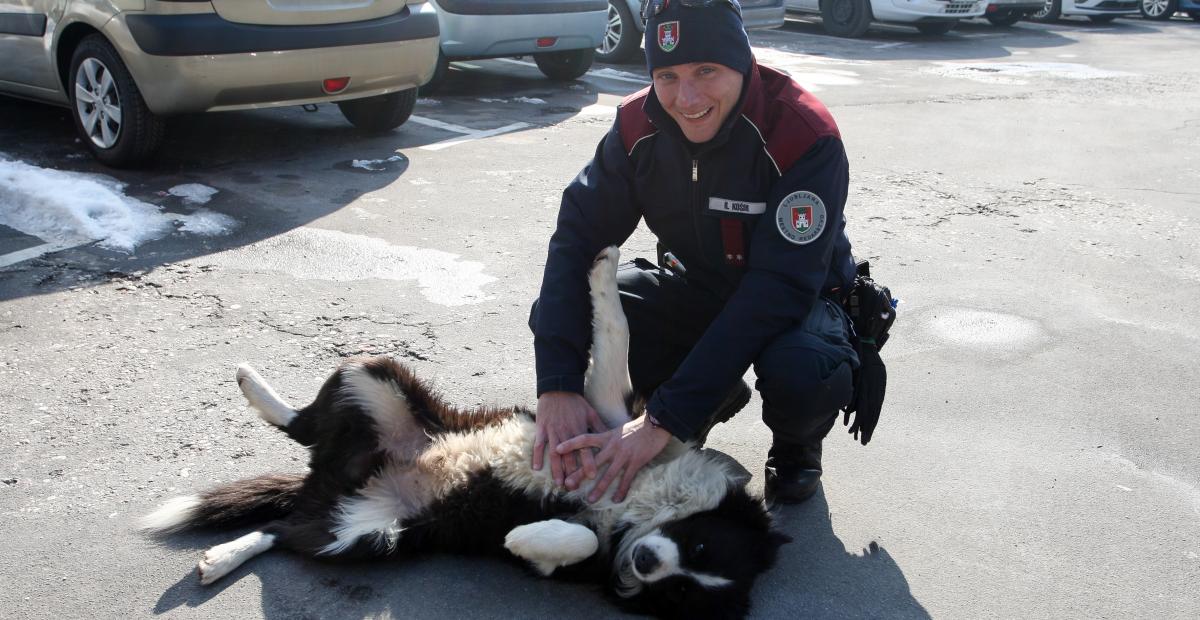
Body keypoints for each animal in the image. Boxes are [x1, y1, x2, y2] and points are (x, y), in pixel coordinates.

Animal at [140, 248, 792, 618]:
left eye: (681, 595)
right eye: (700, 546)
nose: (649, 561)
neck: (648, 513)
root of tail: (334, 476)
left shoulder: (589, 561)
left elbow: (580, 542)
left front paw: (522, 538)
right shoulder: (609, 419)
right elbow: (617, 337)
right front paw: (604, 268)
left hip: (365, 537)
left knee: (283, 529)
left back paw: (223, 555)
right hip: (378, 373)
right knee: (306, 423)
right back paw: (252, 384)